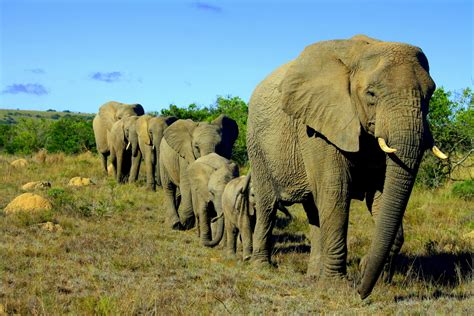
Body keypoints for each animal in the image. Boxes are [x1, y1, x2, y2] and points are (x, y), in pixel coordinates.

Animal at [244, 34, 448, 298]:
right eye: (371, 94)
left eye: (430, 95)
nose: (361, 292)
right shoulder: (319, 125)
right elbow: (336, 192)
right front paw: (337, 287)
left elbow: (382, 195)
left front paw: (373, 277)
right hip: (256, 144)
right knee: (268, 205)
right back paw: (263, 267)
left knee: (314, 210)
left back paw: (312, 276)